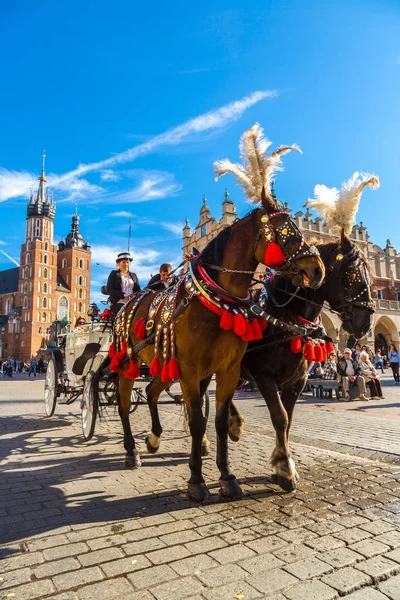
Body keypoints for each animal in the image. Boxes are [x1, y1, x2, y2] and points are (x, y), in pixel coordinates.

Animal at [228, 231, 376, 492]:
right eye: (352, 272)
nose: (365, 324)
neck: (281, 318)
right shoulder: (264, 377)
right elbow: (280, 417)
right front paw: (285, 469)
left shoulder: (297, 380)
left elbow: (288, 419)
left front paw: (282, 463)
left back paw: (234, 425)